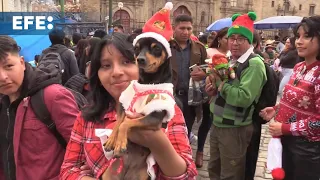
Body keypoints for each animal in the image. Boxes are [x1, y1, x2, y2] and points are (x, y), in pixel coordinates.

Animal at [102, 37, 172, 180]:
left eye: (157, 48)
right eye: (136, 48)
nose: (140, 59)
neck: (147, 81)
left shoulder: (154, 117)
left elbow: (125, 123)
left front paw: (120, 144)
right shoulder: (123, 105)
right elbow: (119, 122)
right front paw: (112, 140)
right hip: (108, 175)